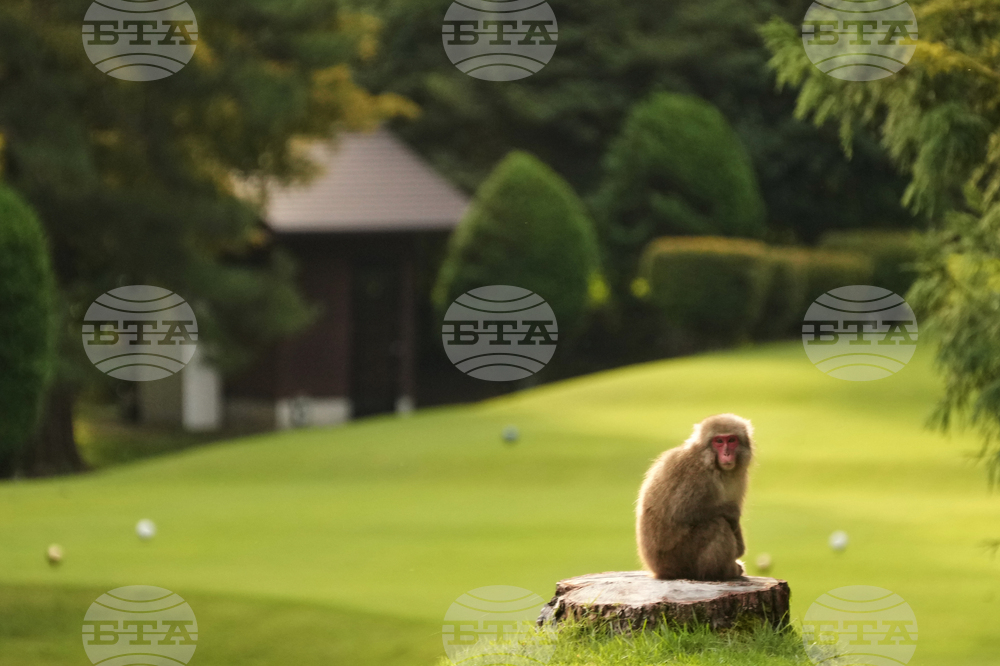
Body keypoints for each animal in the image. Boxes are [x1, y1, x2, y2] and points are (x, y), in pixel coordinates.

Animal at [635, 414, 754, 581]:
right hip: (680, 558)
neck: (712, 464)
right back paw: (720, 572)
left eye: (731, 440)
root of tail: (659, 571)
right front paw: (732, 512)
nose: (726, 454)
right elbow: (683, 511)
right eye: (718, 441)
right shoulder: (696, 475)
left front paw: (740, 546)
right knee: (717, 524)